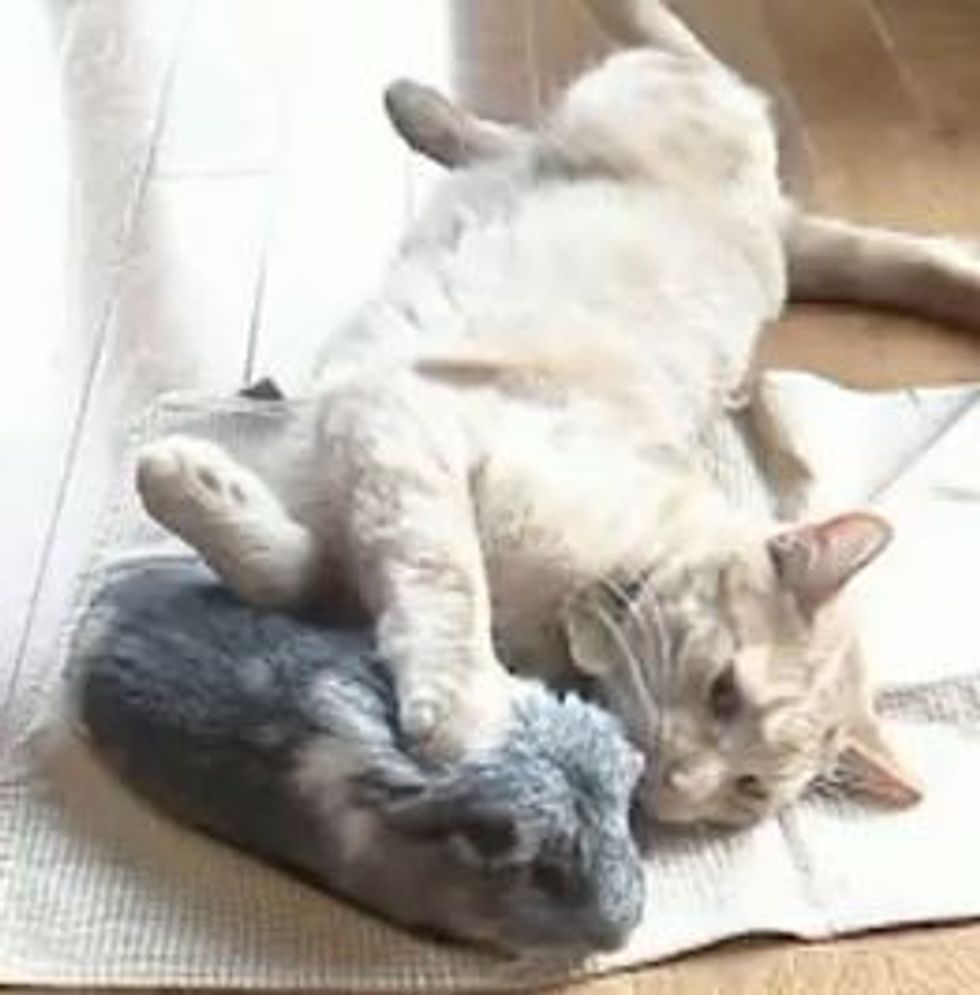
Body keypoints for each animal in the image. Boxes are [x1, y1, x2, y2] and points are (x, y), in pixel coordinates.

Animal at [136, 0, 980, 824]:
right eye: (724, 692)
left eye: (746, 791)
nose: (676, 789)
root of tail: (773, 221)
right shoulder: (406, 418)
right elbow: (439, 572)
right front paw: (467, 708)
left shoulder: (357, 524)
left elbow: (290, 575)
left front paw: (202, 487)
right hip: (629, 100)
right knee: (677, 60)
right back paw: (427, 98)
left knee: (505, 141)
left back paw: (419, 109)